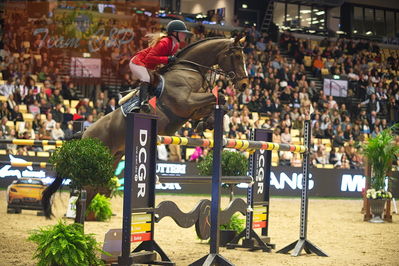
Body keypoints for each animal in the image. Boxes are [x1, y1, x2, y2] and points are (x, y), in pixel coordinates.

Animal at [43, 37, 250, 218]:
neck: (189, 70)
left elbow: (217, 101)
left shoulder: (192, 107)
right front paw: (206, 122)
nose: (244, 84)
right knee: (82, 195)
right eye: (236, 56)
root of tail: (85, 132)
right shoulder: (185, 103)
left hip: (110, 162)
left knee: (91, 192)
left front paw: (205, 123)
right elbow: (218, 96)